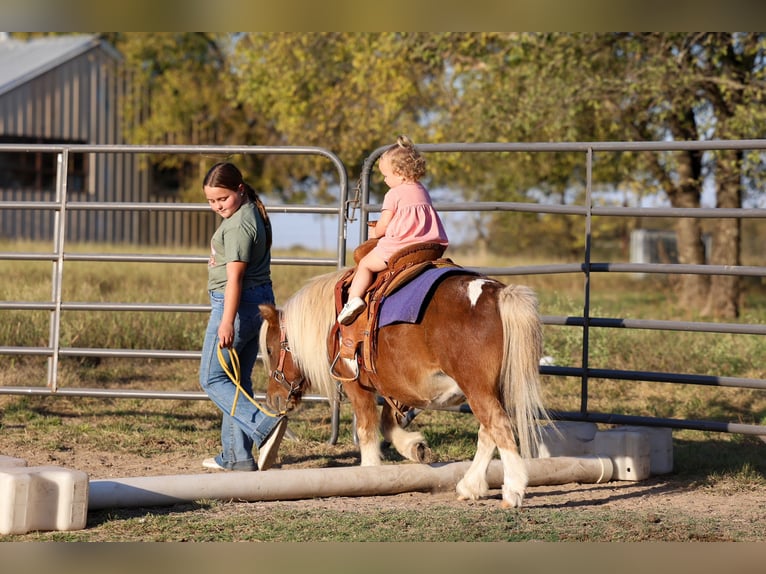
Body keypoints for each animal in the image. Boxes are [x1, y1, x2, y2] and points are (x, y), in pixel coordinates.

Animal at [258, 266, 550, 508]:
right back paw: (471, 486)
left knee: (498, 427)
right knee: (488, 433)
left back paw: (512, 491)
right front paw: (415, 447)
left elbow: (367, 427)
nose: (273, 399)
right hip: (489, 389)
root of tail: (497, 293)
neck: (335, 322)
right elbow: (388, 423)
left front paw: (369, 469)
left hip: (477, 389)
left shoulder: (356, 386)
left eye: (270, 349)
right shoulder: (393, 384)